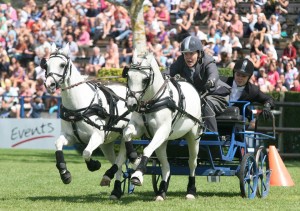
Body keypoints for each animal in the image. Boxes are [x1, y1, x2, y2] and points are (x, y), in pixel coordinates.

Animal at [43, 43, 131, 199]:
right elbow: (58, 145)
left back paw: (113, 184)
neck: (78, 107)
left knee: (120, 159)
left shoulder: (97, 136)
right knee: (117, 163)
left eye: (62, 64)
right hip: (107, 143)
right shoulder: (71, 137)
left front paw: (94, 165)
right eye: (46, 64)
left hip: (126, 134)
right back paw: (116, 189)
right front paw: (65, 173)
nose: (49, 84)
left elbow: (86, 152)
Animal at [102, 49, 203, 201]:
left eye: (145, 79)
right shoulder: (140, 128)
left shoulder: (162, 131)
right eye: (128, 76)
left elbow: (147, 150)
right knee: (166, 166)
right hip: (163, 142)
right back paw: (161, 191)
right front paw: (134, 158)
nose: (131, 104)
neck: (151, 102)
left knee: (192, 162)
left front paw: (138, 174)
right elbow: (127, 134)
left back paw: (191, 190)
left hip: (192, 136)